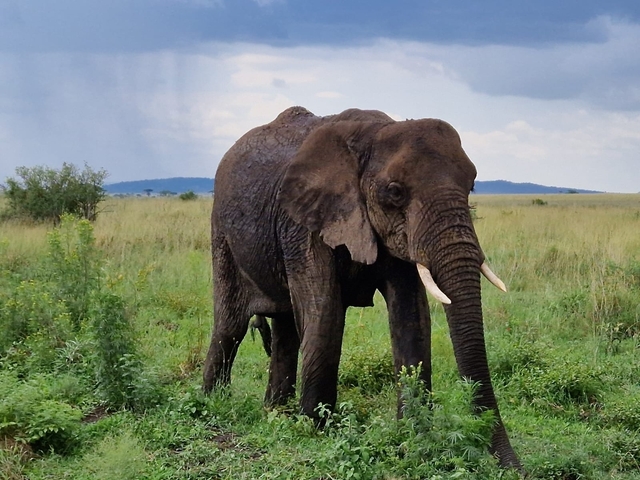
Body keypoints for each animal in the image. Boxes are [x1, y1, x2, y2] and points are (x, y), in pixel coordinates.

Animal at [203, 106, 521, 470]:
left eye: (471, 185)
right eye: (395, 191)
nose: (515, 468)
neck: (371, 135)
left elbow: (411, 316)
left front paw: (413, 434)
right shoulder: (303, 222)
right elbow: (324, 312)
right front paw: (316, 429)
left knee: (285, 331)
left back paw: (275, 413)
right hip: (222, 231)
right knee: (231, 326)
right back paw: (213, 403)